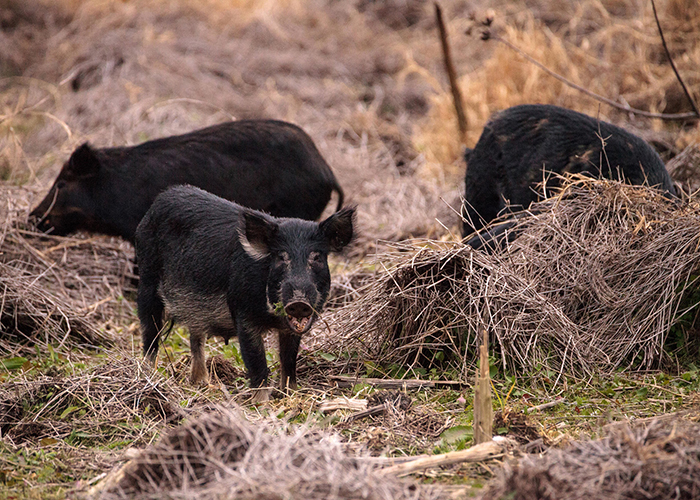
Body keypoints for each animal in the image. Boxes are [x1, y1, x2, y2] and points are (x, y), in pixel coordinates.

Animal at [137, 186, 356, 400]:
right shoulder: (243, 313)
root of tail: (159, 201)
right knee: (150, 334)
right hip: (147, 280)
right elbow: (256, 362)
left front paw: (290, 394)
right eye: (281, 257)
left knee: (196, 336)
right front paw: (262, 403)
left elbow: (289, 359)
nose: (299, 302)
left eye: (317, 257)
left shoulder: (289, 329)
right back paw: (148, 376)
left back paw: (203, 384)